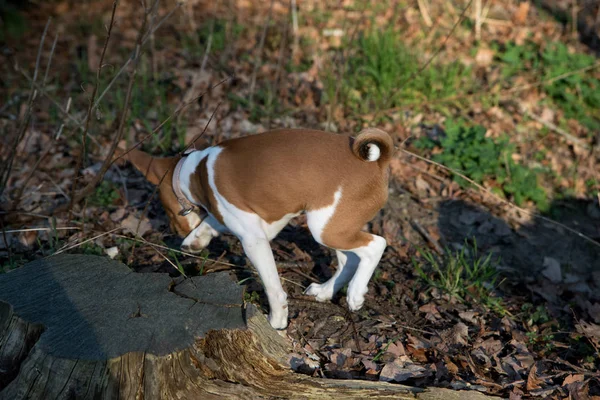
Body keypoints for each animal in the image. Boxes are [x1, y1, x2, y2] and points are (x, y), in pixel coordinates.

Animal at [122, 128, 394, 328]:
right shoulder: (261, 220)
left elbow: (273, 288)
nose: (175, 231)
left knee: (375, 245)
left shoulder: (254, 240)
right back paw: (325, 291)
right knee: (348, 260)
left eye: (168, 210)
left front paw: (277, 321)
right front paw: (196, 238)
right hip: (332, 225)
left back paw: (355, 294)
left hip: (325, 228)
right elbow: (212, 221)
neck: (197, 172)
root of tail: (376, 164)